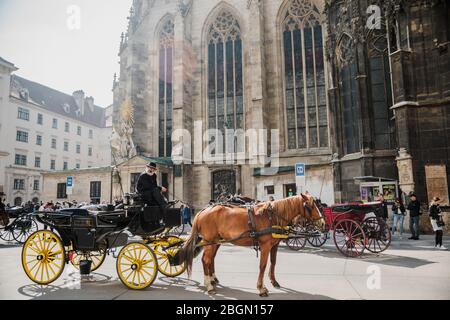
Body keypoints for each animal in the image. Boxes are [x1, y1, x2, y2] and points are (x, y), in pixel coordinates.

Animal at [178, 194, 326, 296]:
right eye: (310, 206)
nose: (323, 224)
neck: (272, 216)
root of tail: (203, 211)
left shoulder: (274, 245)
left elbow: (273, 262)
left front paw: (274, 281)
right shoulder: (265, 246)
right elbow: (263, 266)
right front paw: (261, 288)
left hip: (215, 241)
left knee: (210, 259)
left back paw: (212, 280)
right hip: (210, 241)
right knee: (206, 259)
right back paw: (209, 285)